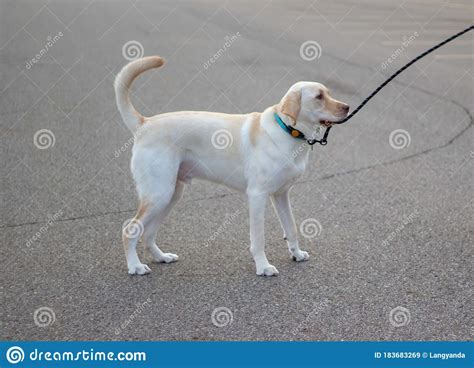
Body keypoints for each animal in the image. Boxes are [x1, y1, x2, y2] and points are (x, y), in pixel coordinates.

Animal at [114, 55, 348, 276]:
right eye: (319, 97)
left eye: (328, 93)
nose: (347, 107)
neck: (288, 130)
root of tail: (144, 123)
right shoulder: (257, 196)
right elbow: (258, 239)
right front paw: (263, 267)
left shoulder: (281, 195)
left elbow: (291, 228)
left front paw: (296, 254)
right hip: (159, 194)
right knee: (130, 231)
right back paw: (135, 266)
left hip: (170, 194)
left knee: (148, 233)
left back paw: (162, 257)